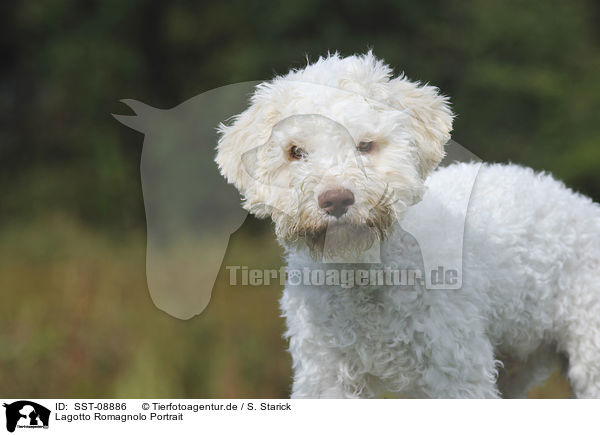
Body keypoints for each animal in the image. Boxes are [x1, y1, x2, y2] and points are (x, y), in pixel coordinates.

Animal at [216, 52, 600, 398]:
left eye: (365, 145)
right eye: (295, 152)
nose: (336, 199)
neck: (363, 274)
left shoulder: (455, 372)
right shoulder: (326, 377)